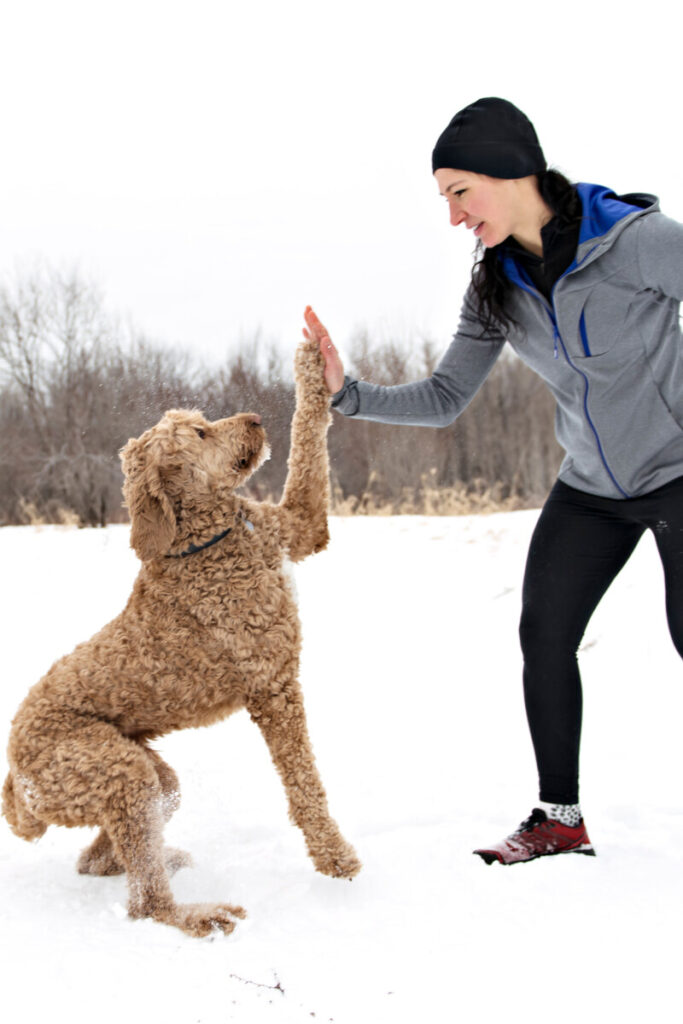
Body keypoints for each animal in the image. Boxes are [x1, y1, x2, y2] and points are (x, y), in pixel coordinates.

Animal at [1, 335, 362, 937]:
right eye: (198, 434)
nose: (255, 419)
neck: (210, 537)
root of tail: (14, 773)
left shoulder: (300, 524)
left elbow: (309, 438)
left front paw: (315, 360)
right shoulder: (273, 688)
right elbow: (304, 786)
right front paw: (335, 857)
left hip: (148, 776)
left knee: (106, 855)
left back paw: (158, 860)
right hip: (116, 771)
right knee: (146, 903)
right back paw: (198, 914)